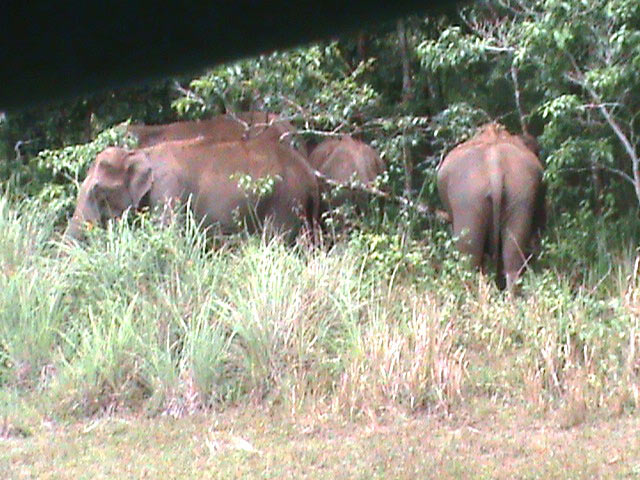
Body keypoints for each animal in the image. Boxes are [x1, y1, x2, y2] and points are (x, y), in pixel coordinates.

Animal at [64, 135, 319, 241]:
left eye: (98, 192)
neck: (139, 153)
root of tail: (308, 171)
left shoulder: (168, 189)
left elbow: (168, 234)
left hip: (285, 199)